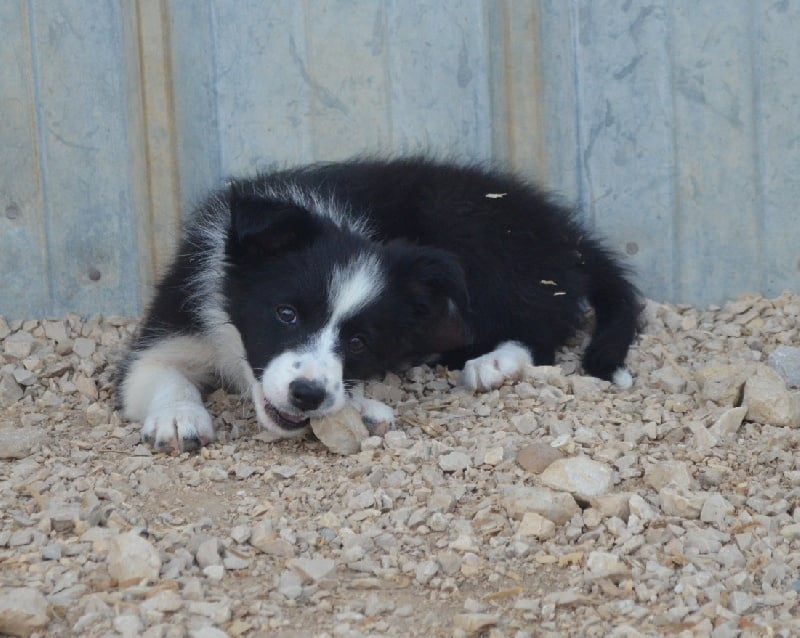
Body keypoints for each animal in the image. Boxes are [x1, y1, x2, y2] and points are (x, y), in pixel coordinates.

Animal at [119, 158, 640, 452]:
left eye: (358, 340)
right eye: (286, 314)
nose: (307, 395)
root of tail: (569, 239)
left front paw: (361, 406)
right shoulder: (173, 320)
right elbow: (157, 373)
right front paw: (178, 416)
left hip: (480, 242)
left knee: (542, 328)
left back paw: (492, 362)